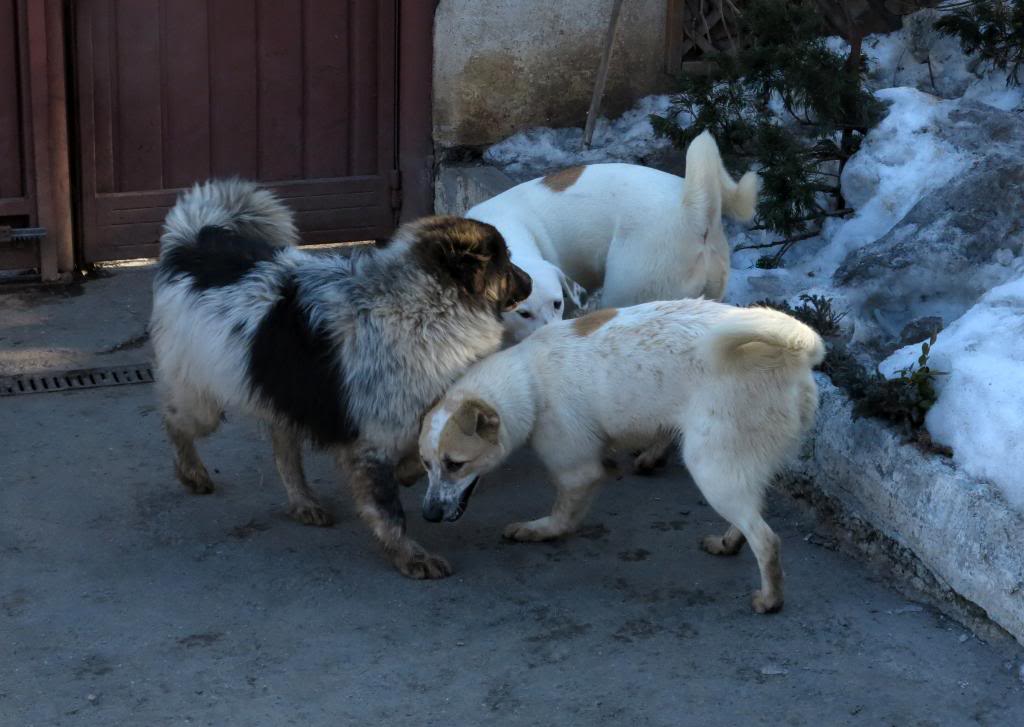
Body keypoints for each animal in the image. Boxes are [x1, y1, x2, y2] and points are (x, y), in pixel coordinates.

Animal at [152, 179, 536, 577]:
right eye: (505, 261)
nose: (531, 282)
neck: (423, 307)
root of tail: (194, 243)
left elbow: (420, 458)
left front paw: (409, 475)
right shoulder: (373, 439)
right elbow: (389, 510)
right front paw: (410, 556)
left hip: (285, 393)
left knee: (283, 449)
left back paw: (303, 502)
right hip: (202, 402)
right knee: (175, 422)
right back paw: (192, 473)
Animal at [415, 298, 823, 610]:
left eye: (456, 464)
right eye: (426, 464)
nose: (428, 515)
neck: (528, 382)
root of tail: (794, 351)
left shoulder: (579, 472)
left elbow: (561, 517)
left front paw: (537, 531)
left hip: (710, 467)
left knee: (767, 540)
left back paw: (770, 600)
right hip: (734, 468)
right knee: (751, 517)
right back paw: (728, 543)